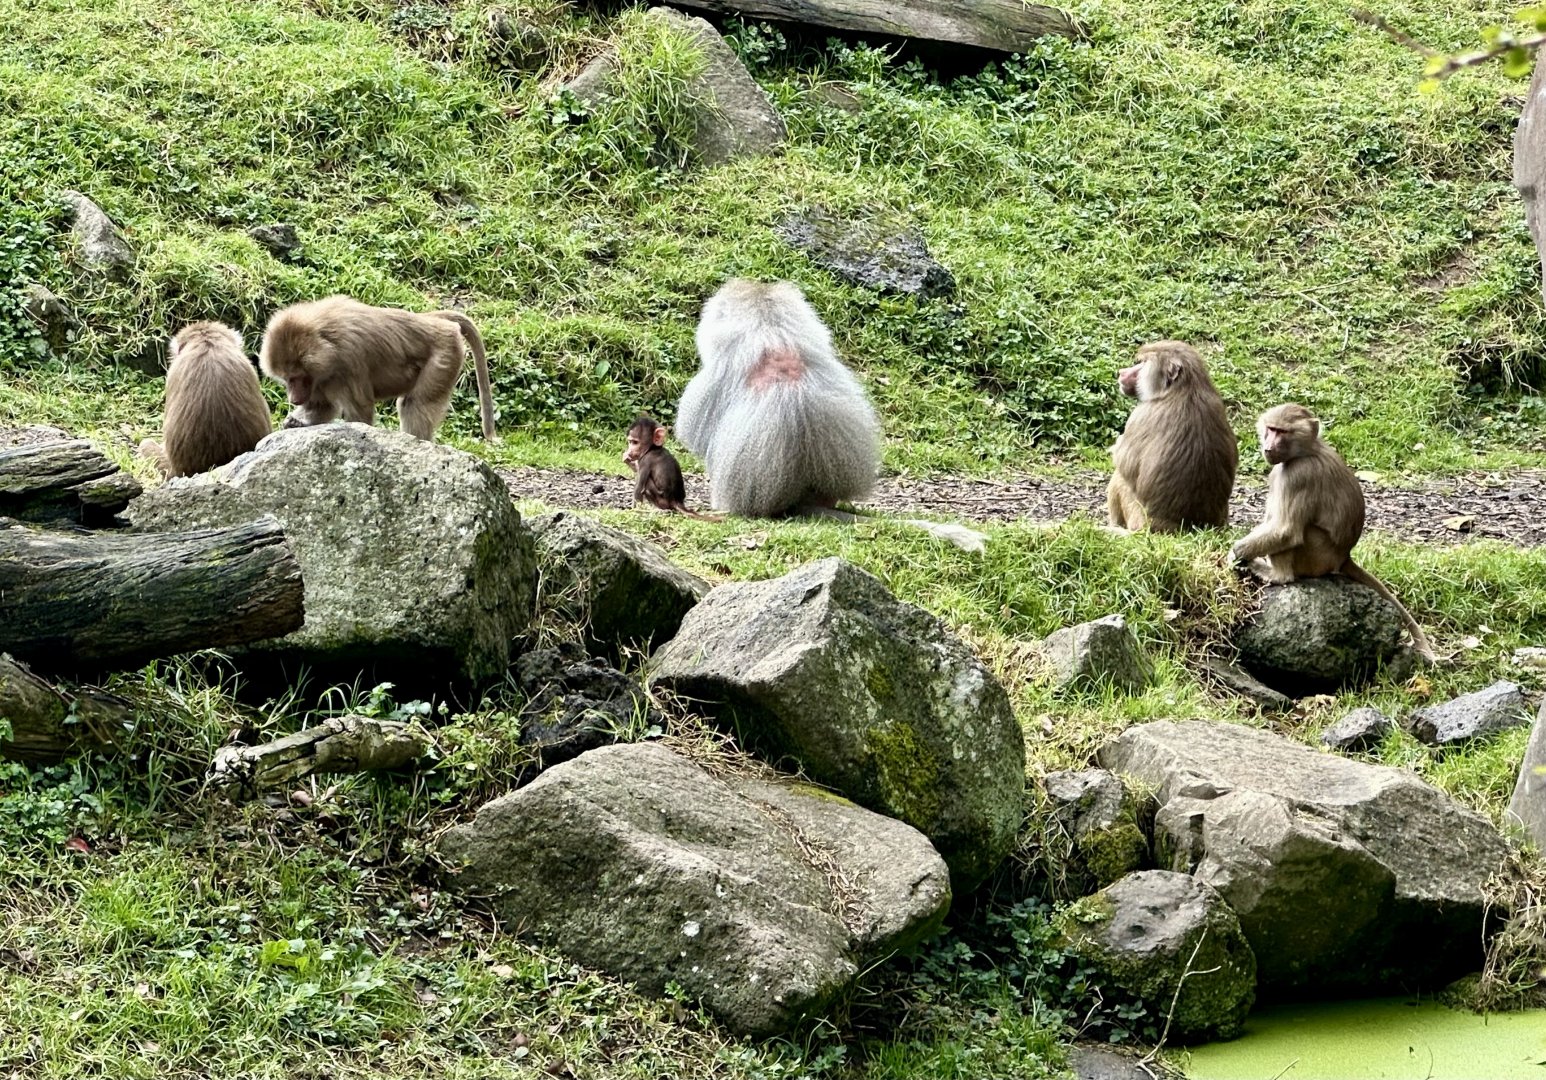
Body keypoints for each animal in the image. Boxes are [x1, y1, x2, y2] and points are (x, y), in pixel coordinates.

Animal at [257, 295, 496, 442]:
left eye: (297, 377)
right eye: (287, 379)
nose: (294, 398)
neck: (326, 341)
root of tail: (434, 322)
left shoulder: (348, 361)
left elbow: (360, 414)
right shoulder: (321, 378)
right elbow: (322, 406)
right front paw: (297, 422)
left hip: (444, 354)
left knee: (414, 404)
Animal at [1107, 340, 1238, 532]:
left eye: (1143, 363)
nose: (1122, 372)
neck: (1184, 388)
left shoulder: (1141, 415)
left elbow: (1124, 462)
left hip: (1137, 515)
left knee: (1120, 478)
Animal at [1230, 403, 1437, 661]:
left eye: (1282, 432)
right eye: (1270, 429)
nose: (1268, 446)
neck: (1306, 451)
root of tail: (1344, 556)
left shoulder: (1297, 474)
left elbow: (1286, 531)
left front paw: (1235, 553)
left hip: (1316, 557)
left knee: (1297, 534)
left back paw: (1276, 575)